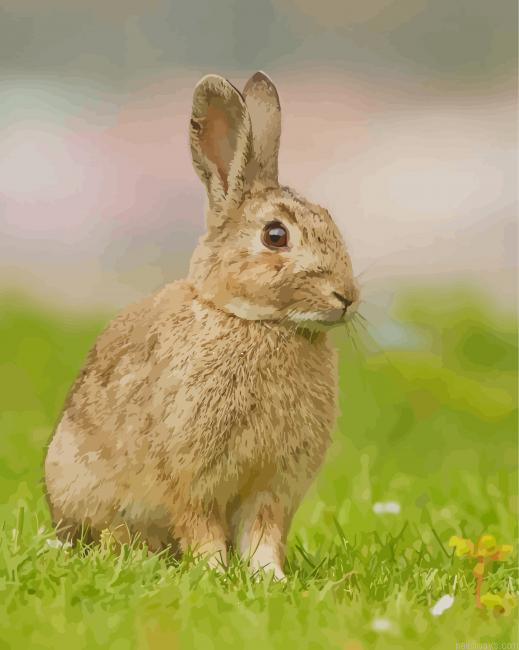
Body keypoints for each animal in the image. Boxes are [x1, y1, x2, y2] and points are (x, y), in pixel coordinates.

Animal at [44, 71, 359, 579]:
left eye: (330, 220)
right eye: (276, 235)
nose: (346, 297)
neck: (256, 322)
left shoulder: (272, 488)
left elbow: (263, 534)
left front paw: (269, 579)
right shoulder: (191, 478)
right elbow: (201, 527)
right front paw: (215, 573)